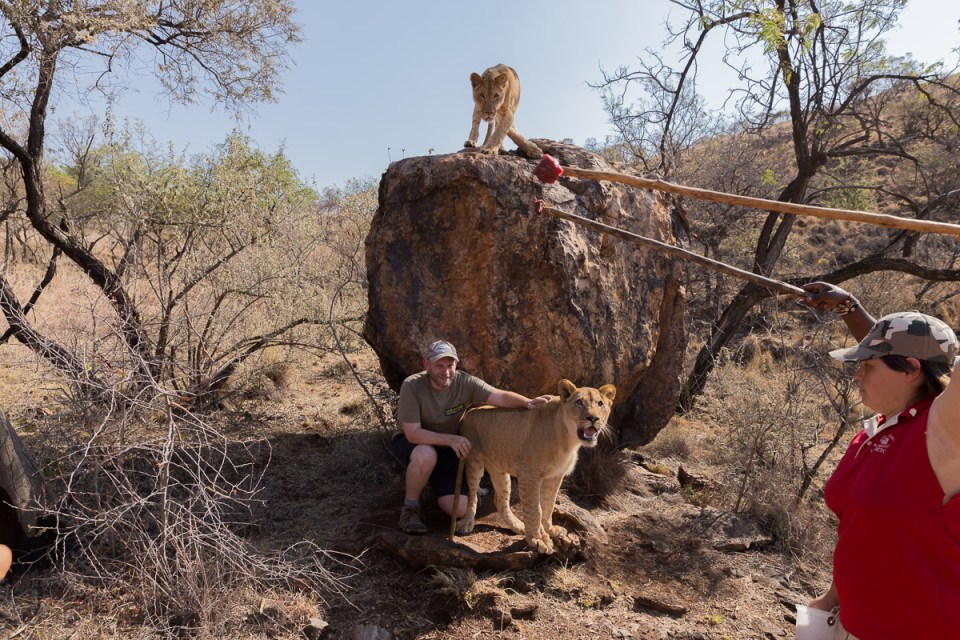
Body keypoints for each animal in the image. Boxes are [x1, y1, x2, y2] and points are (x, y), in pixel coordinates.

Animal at [455, 379, 616, 553]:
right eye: (579, 402)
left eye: (600, 403)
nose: (593, 418)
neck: (568, 439)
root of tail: (469, 411)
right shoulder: (529, 475)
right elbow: (534, 509)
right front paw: (537, 539)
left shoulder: (555, 476)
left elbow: (549, 504)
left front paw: (549, 530)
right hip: (473, 462)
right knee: (471, 495)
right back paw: (467, 522)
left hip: (500, 469)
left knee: (500, 501)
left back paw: (518, 526)